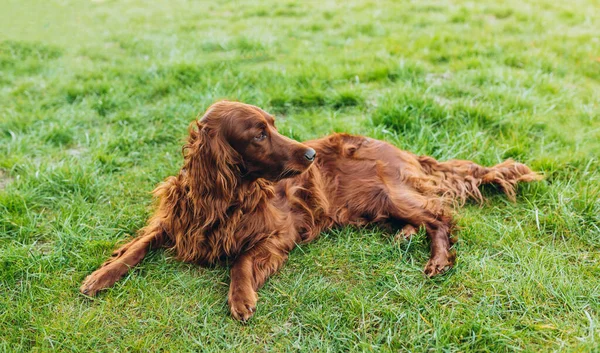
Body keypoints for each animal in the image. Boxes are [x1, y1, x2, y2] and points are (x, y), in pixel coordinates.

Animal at [77, 99, 540, 320]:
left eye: (273, 124)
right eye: (258, 134)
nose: (312, 154)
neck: (224, 198)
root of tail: (404, 150)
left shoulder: (278, 233)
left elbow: (241, 260)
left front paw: (241, 297)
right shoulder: (177, 221)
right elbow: (138, 246)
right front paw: (100, 276)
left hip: (388, 192)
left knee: (440, 215)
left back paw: (438, 259)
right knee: (421, 217)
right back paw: (404, 236)